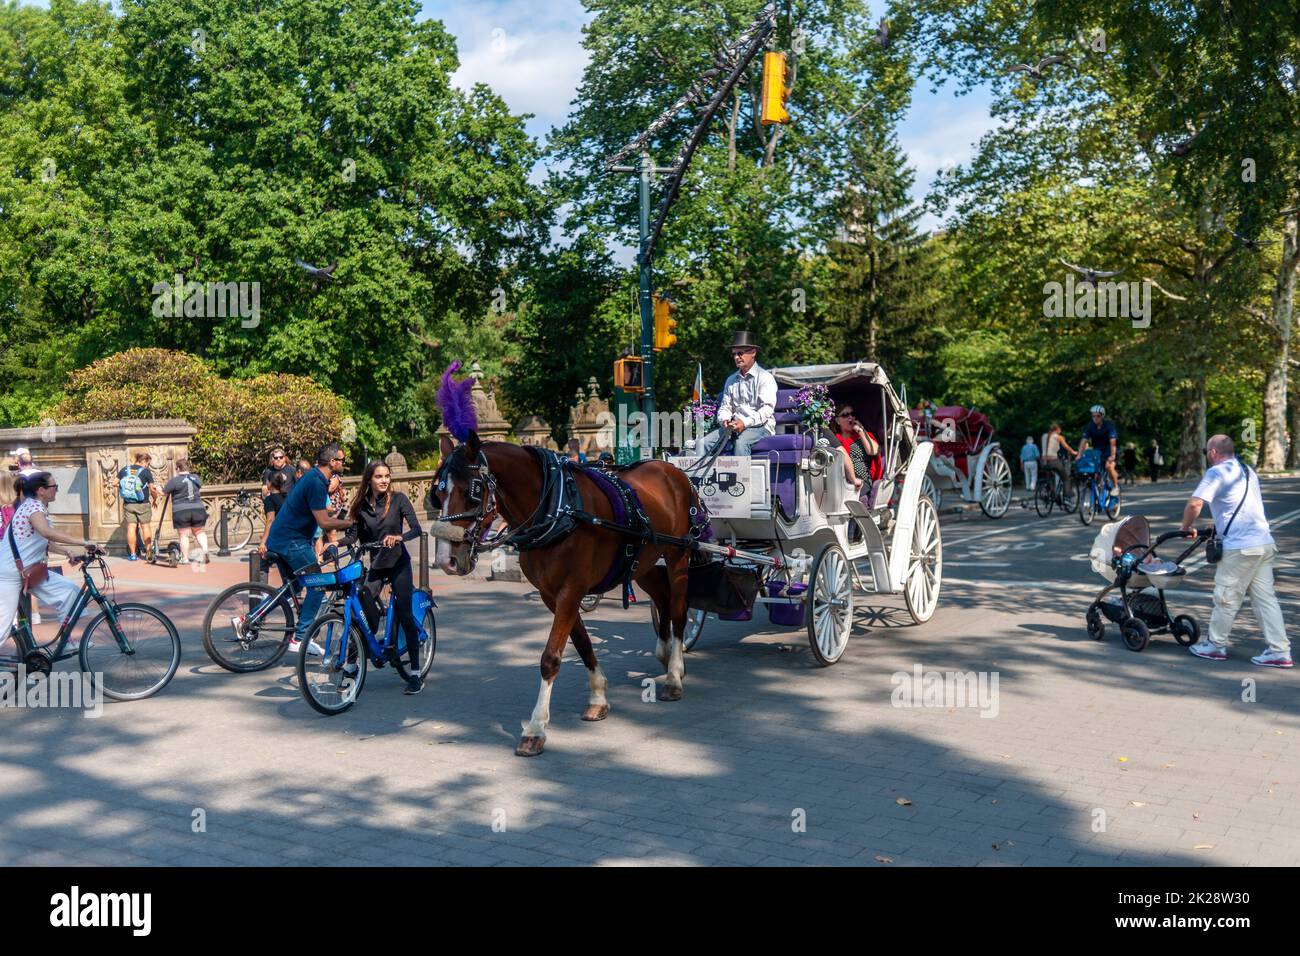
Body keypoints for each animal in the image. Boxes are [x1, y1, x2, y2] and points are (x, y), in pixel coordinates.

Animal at [434, 431, 702, 754]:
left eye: (471, 492)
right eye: (437, 493)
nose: (446, 560)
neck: (557, 509)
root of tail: (672, 470)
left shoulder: (571, 590)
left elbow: (550, 657)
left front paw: (535, 728)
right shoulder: (552, 594)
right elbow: (582, 643)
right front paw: (598, 697)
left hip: (678, 555)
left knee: (678, 608)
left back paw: (674, 675)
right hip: (644, 561)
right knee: (662, 598)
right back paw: (665, 654)